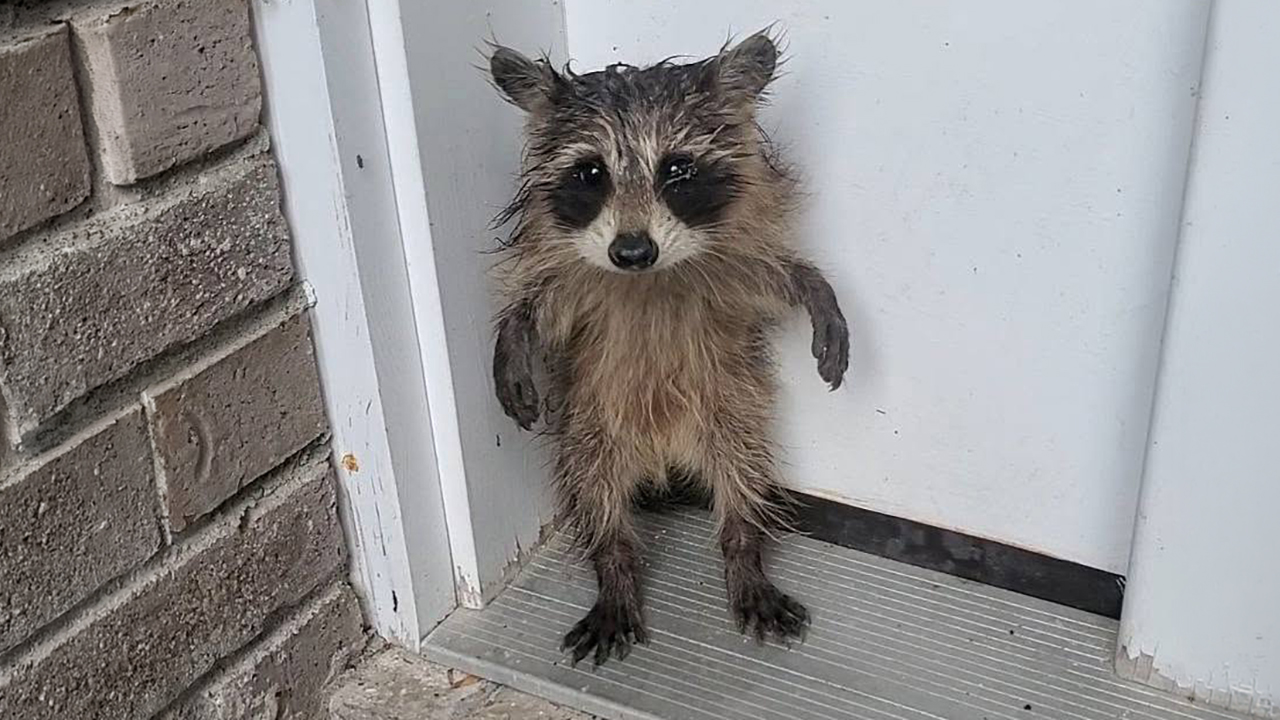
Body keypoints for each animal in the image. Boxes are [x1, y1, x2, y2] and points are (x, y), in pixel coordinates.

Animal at [487, 30, 849, 666]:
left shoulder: (731, 270)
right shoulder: (574, 281)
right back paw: (614, 566)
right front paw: (513, 334)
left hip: (730, 405)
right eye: (591, 173)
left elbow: (777, 277)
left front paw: (816, 289)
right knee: (593, 488)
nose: (632, 252)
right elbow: (540, 306)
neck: (649, 279)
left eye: (677, 168)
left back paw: (743, 549)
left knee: (743, 473)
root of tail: (664, 458)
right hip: (592, 421)